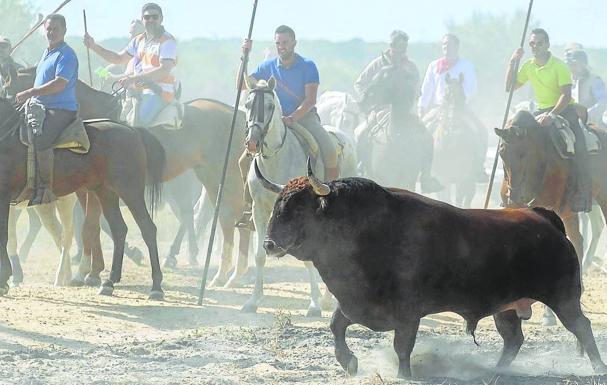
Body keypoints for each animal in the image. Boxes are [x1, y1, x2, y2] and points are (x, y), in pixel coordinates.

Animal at [0, 97, 165, 298]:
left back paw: (156, 287)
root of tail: (132, 131)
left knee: (147, 229)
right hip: (105, 192)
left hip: (130, 190)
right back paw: (109, 282)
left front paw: (4, 281)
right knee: (119, 230)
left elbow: (4, 237)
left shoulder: (4, 195)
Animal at [242, 78, 356, 316]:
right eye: (247, 104)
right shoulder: (259, 211)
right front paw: (253, 301)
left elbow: (309, 259)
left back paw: (327, 300)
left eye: (270, 106)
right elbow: (259, 256)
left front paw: (313, 305)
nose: (252, 142)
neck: (276, 160)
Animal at [258, 162, 607, 378]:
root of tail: (543, 218)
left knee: (582, 328)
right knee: (513, 340)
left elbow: (402, 347)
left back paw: (597, 368)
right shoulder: (357, 304)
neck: (365, 227)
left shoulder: (407, 314)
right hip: (506, 308)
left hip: (563, 300)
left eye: (299, 208)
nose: (268, 244)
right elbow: (336, 325)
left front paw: (403, 375)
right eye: (277, 205)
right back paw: (497, 370)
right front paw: (350, 363)